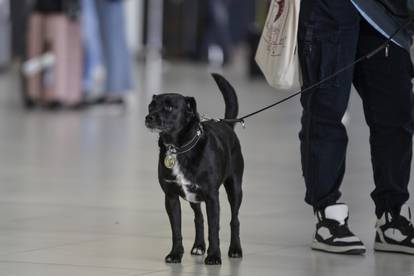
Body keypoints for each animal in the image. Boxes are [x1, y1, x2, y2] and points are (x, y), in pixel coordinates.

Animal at [145, 74, 244, 266]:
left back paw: (235, 249)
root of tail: (227, 125)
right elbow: (176, 230)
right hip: (194, 197)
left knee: (234, 219)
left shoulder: (212, 198)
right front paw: (176, 254)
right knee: (199, 218)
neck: (177, 148)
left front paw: (214, 256)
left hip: (235, 188)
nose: (148, 117)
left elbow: (214, 229)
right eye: (151, 106)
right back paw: (198, 246)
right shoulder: (171, 198)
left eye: (169, 107)